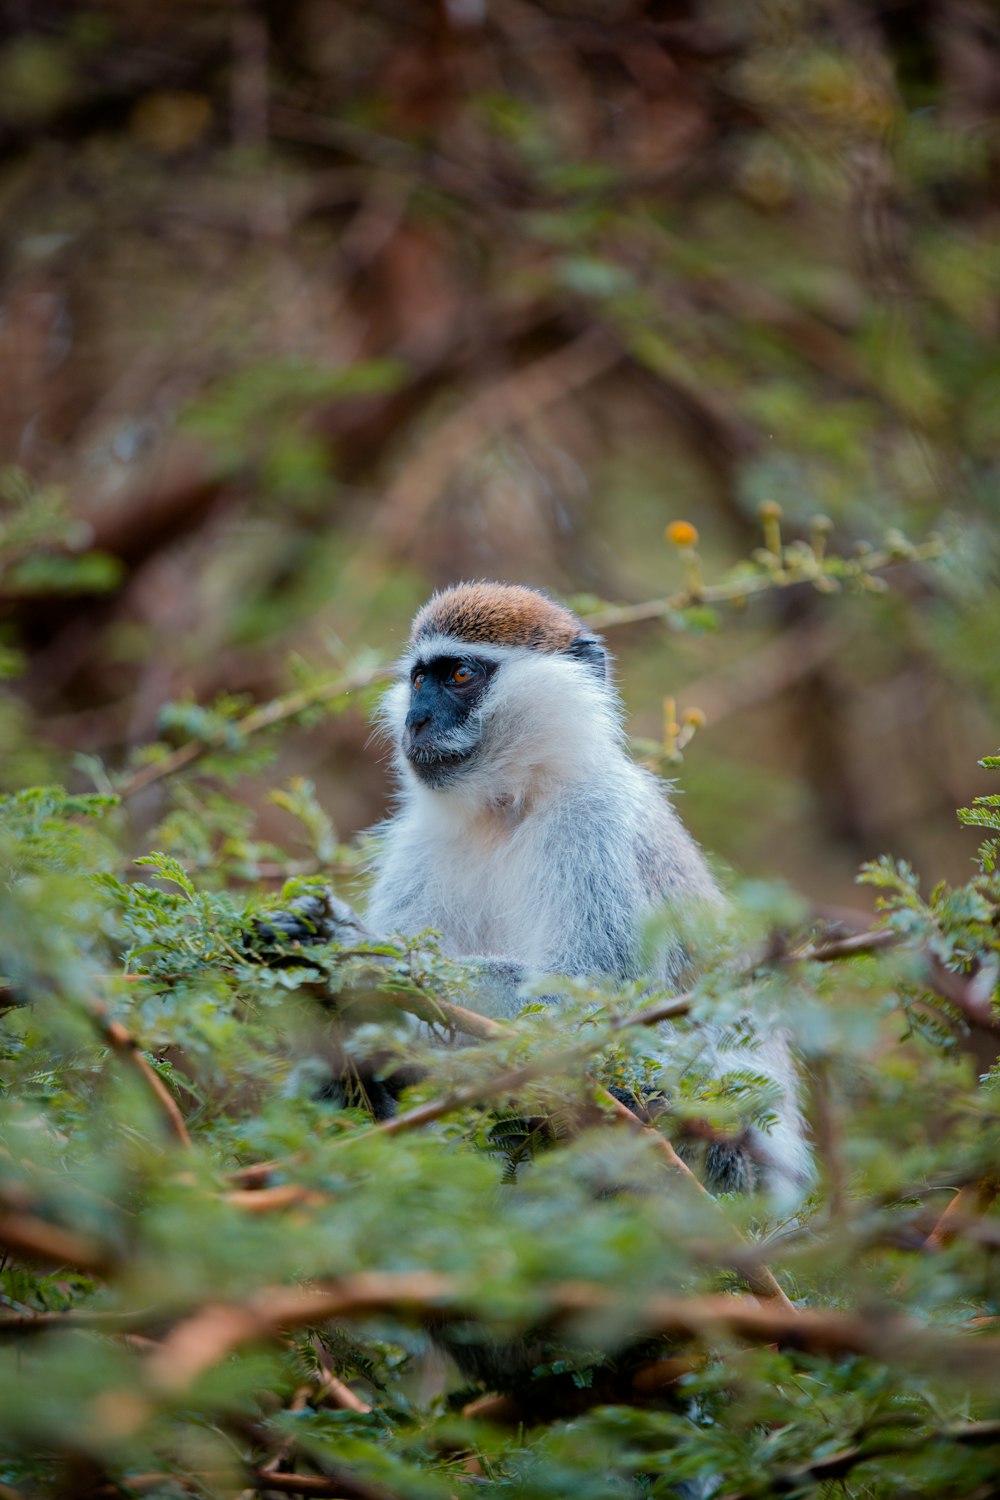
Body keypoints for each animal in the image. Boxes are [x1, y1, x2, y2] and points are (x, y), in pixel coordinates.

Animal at [268, 576, 815, 1206]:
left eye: (460, 675)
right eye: (419, 679)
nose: (415, 721)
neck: (510, 803)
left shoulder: (594, 822)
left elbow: (589, 999)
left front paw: (360, 954)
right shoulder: (419, 841)